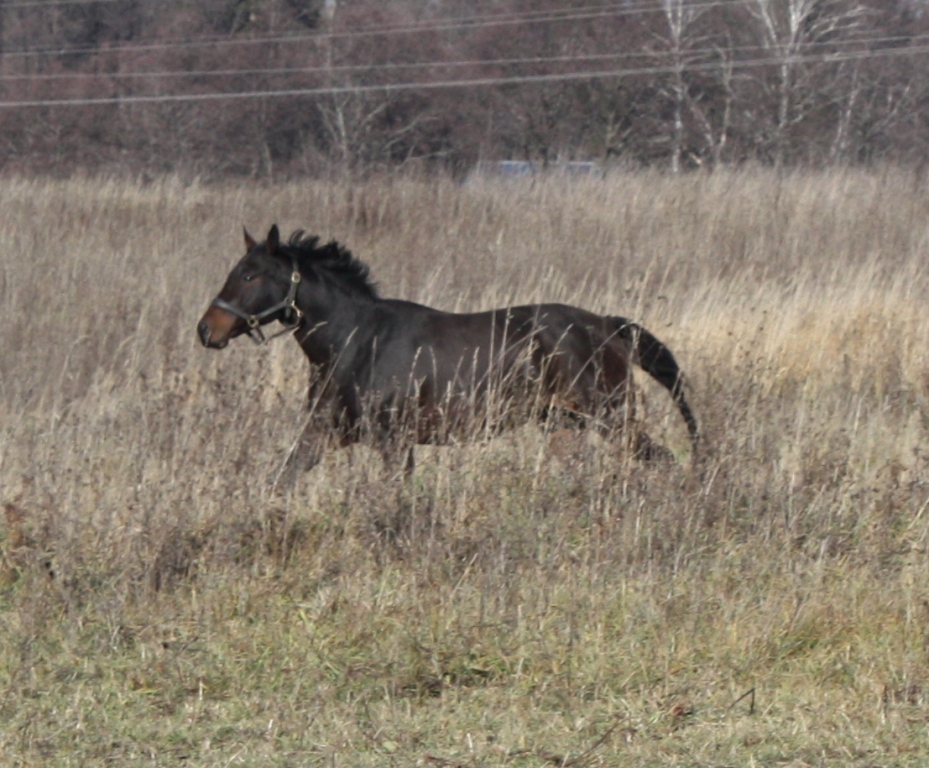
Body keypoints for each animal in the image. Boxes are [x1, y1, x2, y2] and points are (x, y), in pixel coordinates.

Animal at [201, 222, 696, 476]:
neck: (355, 342)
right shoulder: (325, 431)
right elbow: (284, 477)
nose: (207, 330)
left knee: (663, 461)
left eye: (249, 275)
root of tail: (606, 326)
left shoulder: (394, 440)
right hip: (566, 422)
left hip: (612, 415)